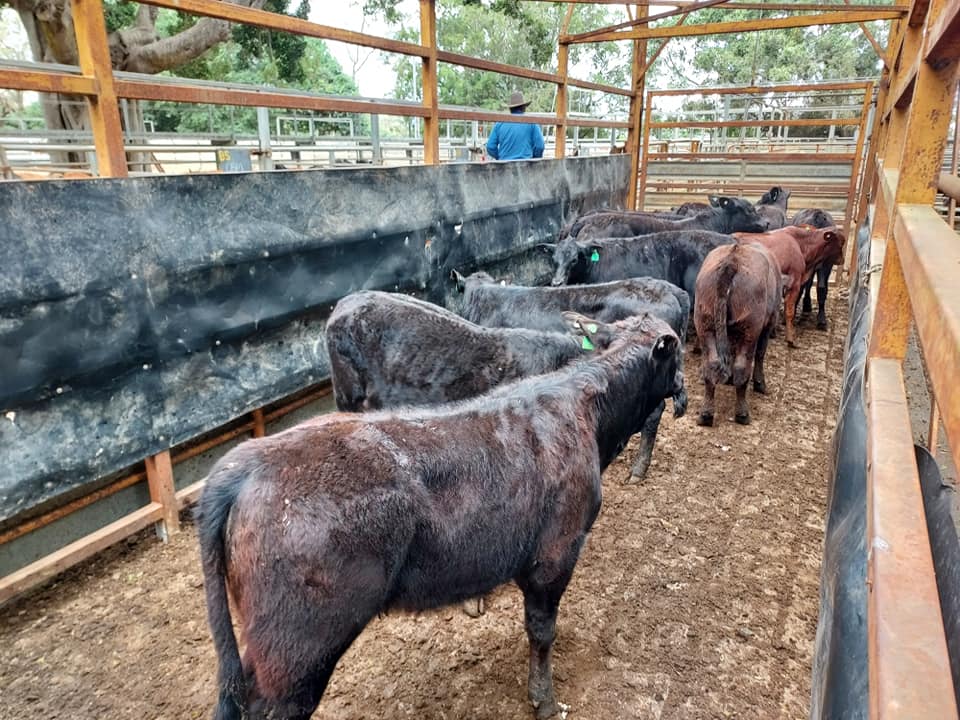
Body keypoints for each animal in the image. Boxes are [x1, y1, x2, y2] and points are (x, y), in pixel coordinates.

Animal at [198, 312, 684, 720]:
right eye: (676, 350)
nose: (681, 389)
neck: (587, 412)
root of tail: (244, 463)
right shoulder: (555, 554)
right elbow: (542, 630)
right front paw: (543, 699)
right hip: (297, 650)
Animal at [694, 242, 783, 426]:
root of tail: (731, 261)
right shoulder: (769, 323)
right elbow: (760, 354)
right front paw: (760, 383)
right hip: (749, 330)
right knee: (742, 367)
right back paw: (742, 413)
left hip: (705, 324)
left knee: (711, 364)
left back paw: (706, 413)